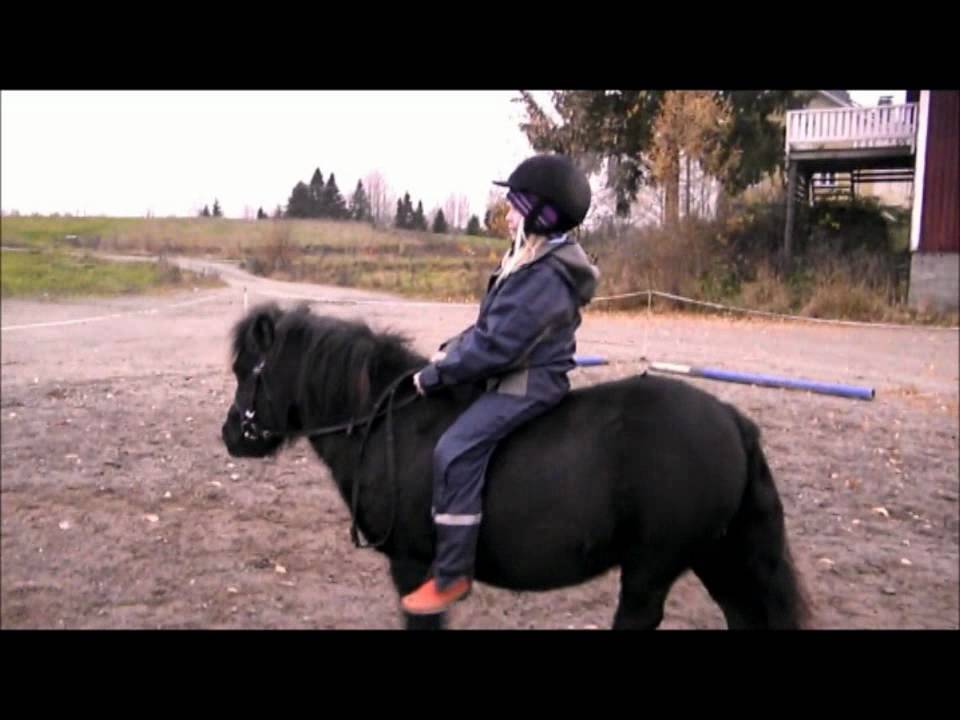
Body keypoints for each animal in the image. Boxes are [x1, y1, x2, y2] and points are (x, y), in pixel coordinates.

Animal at [221, 302, 812, 630]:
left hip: (654, 566)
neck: (390, 423)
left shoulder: (412, 565)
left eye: (248, 370)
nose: (231, 435)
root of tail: (731, 419)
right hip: (719, 557)